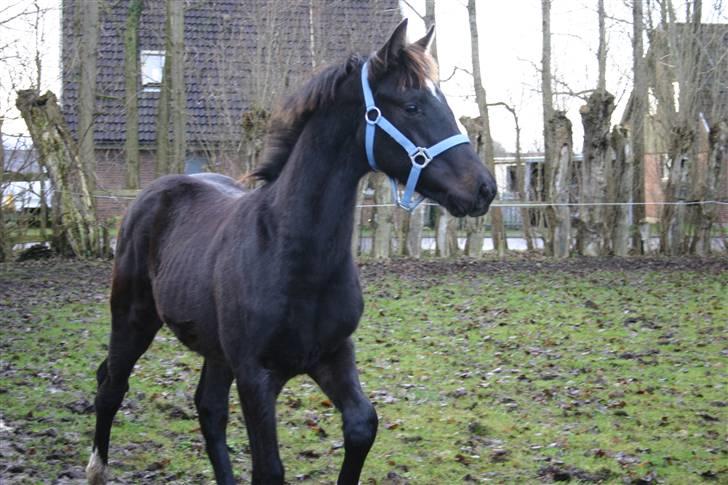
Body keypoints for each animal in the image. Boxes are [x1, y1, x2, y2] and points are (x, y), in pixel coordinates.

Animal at [85, 19, 494, 484]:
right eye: (412, 106)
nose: (484, 189)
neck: (293, 256)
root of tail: (150, 194)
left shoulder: (332, 354)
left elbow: (362, 427)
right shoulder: (257, 376)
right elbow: (269, 468)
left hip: (214, 348)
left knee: (208, 409)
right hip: (133, 318)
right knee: (112, 386)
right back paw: (96, 468)